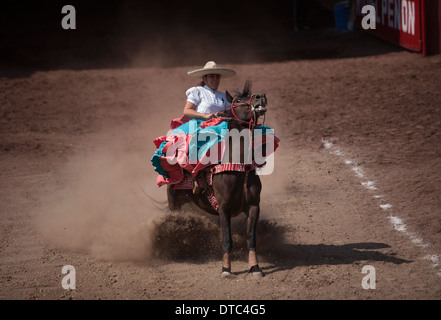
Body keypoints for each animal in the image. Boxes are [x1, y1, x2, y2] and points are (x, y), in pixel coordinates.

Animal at [166, 81, 266, 278]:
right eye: (237, 100)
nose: (260, 97)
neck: (240, 167)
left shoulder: (253, 205)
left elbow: (251, 237)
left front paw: (255, 268)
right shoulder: (224, 207)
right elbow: (227, 239)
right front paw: (226, 269)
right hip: (174, 203)